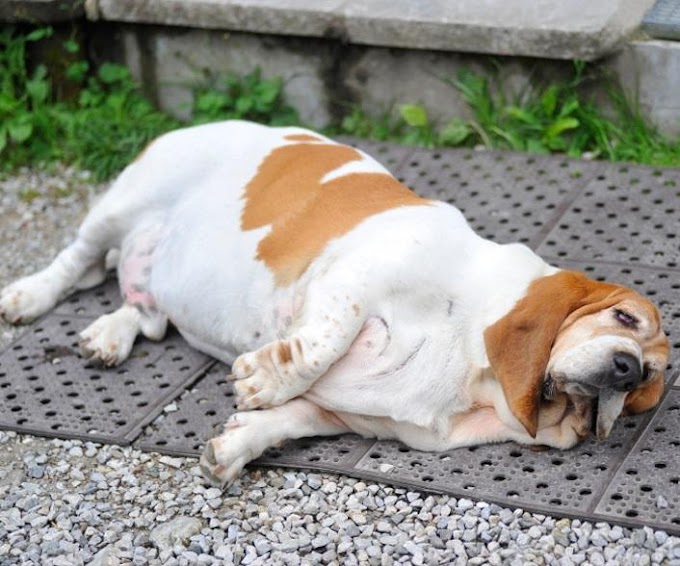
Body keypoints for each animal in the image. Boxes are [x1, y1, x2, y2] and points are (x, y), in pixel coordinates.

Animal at [0, 121, 668, 488]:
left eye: (646, 384)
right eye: (624, 318)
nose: (627, 368)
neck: (472, 370)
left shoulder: (349, 416)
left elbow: (289, 421)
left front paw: (234, 448)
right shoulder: (351, 281)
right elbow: (319, 346)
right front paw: (260, 379)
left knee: (143, 308)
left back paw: (108, 337)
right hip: (119, 208)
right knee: (76, 263)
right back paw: (27, 296)